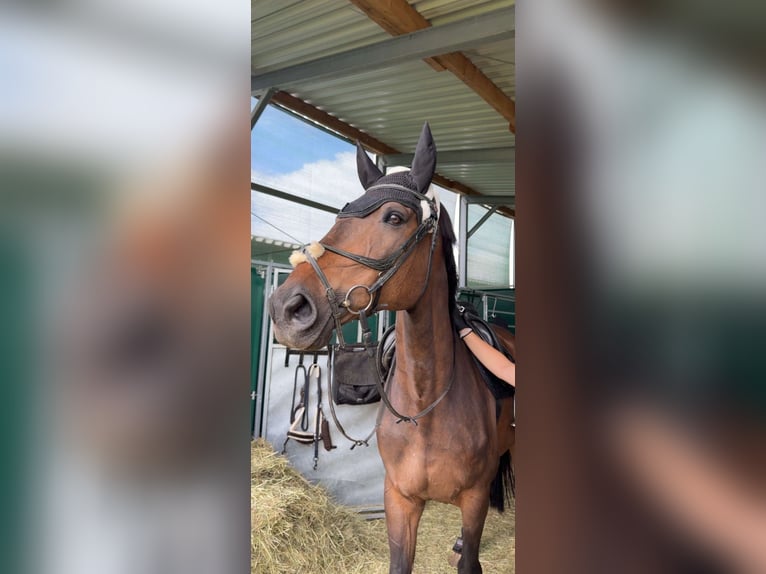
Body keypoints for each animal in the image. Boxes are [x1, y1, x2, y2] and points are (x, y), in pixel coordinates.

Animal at [269, 123, 515, 574]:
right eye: (340, 216)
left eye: (394, 218)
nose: (287, 308)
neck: (426, 405)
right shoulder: (399, 500)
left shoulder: (472, 501)